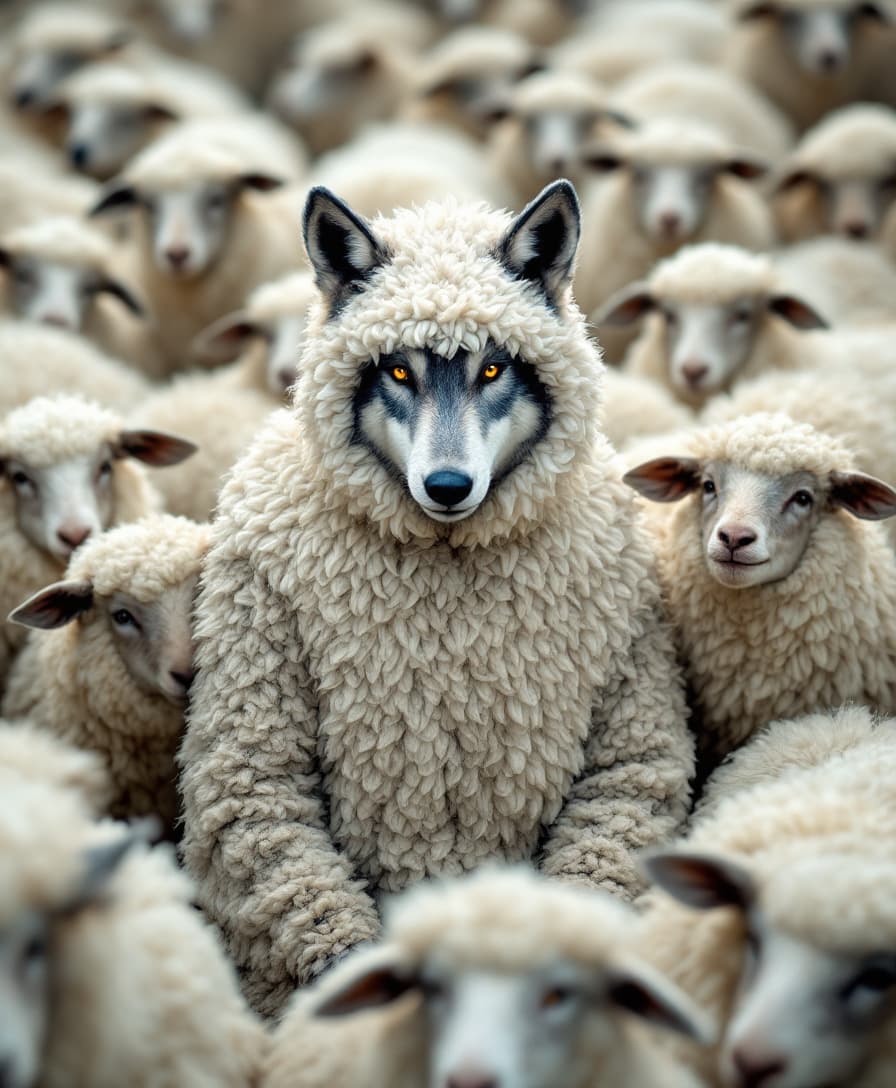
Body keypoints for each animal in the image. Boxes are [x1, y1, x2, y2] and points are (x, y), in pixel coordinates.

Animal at [179, 181, 694, 1017]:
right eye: (396, 372)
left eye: (493, 370)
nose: (447, 485)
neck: (448, 571)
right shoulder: (250, 699)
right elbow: (256, 788)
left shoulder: (633, 670)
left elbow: (625, 780)